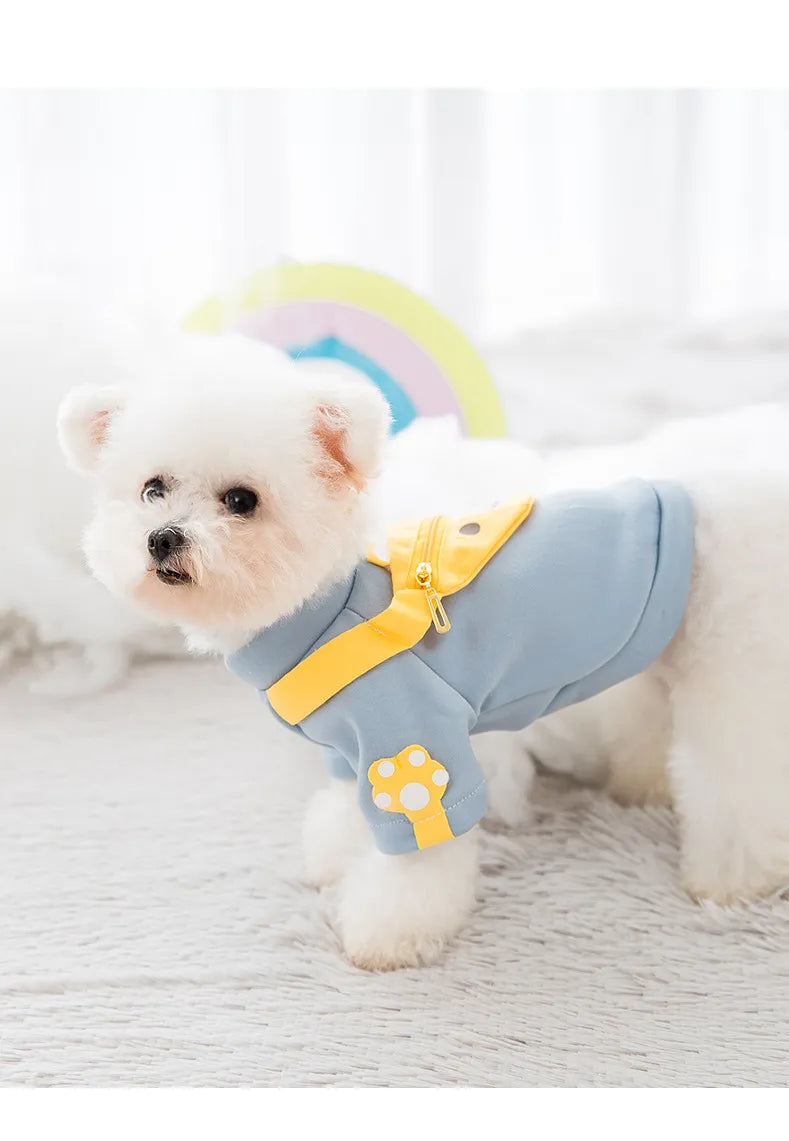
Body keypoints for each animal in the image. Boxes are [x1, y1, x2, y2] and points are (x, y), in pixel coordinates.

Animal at [57, 333, 789, 967]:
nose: (162, 538)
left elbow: (414, 862)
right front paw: (334, 859)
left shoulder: (414, 750)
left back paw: (733, 880)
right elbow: (343, 815)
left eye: (241, 500)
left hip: (737, 659)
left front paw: (385, 937)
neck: (329, 606)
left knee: (737, 776)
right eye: (152, 489)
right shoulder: (350, 748)